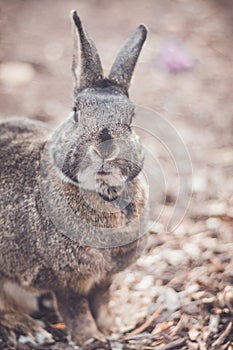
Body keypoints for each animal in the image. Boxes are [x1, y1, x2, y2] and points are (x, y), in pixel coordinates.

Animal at [0, 9, 148, 346]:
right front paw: (91, 339)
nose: (105, 148)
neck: (103, 194)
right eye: (76, 112)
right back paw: (27, 327)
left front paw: (112, 328)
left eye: (131, 118)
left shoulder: (104, 279)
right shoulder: (66, 280)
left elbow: (102, 302)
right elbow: (76, 310)